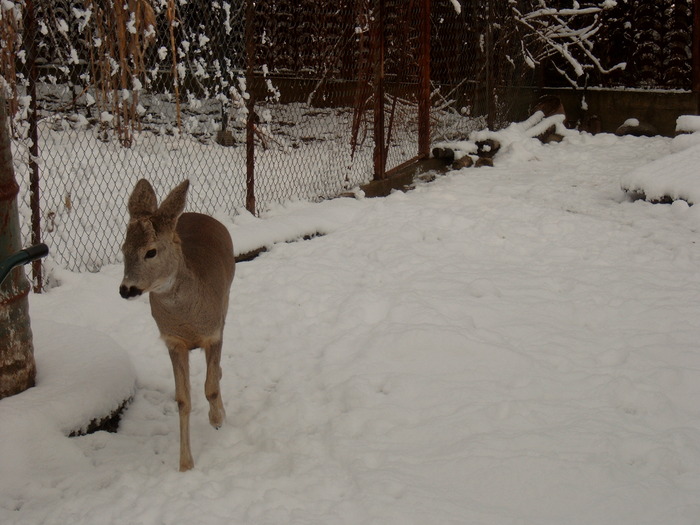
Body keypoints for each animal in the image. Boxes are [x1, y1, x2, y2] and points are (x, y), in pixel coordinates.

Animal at [119, 180, 235, 470]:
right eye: (123, 250)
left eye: (150, 251)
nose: (126, 289)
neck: (187, 318)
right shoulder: (172, 341)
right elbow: (183, 400)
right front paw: (185, 463)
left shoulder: (213, 333)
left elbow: (210, 389)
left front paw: (218, 419)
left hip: (227, 299)